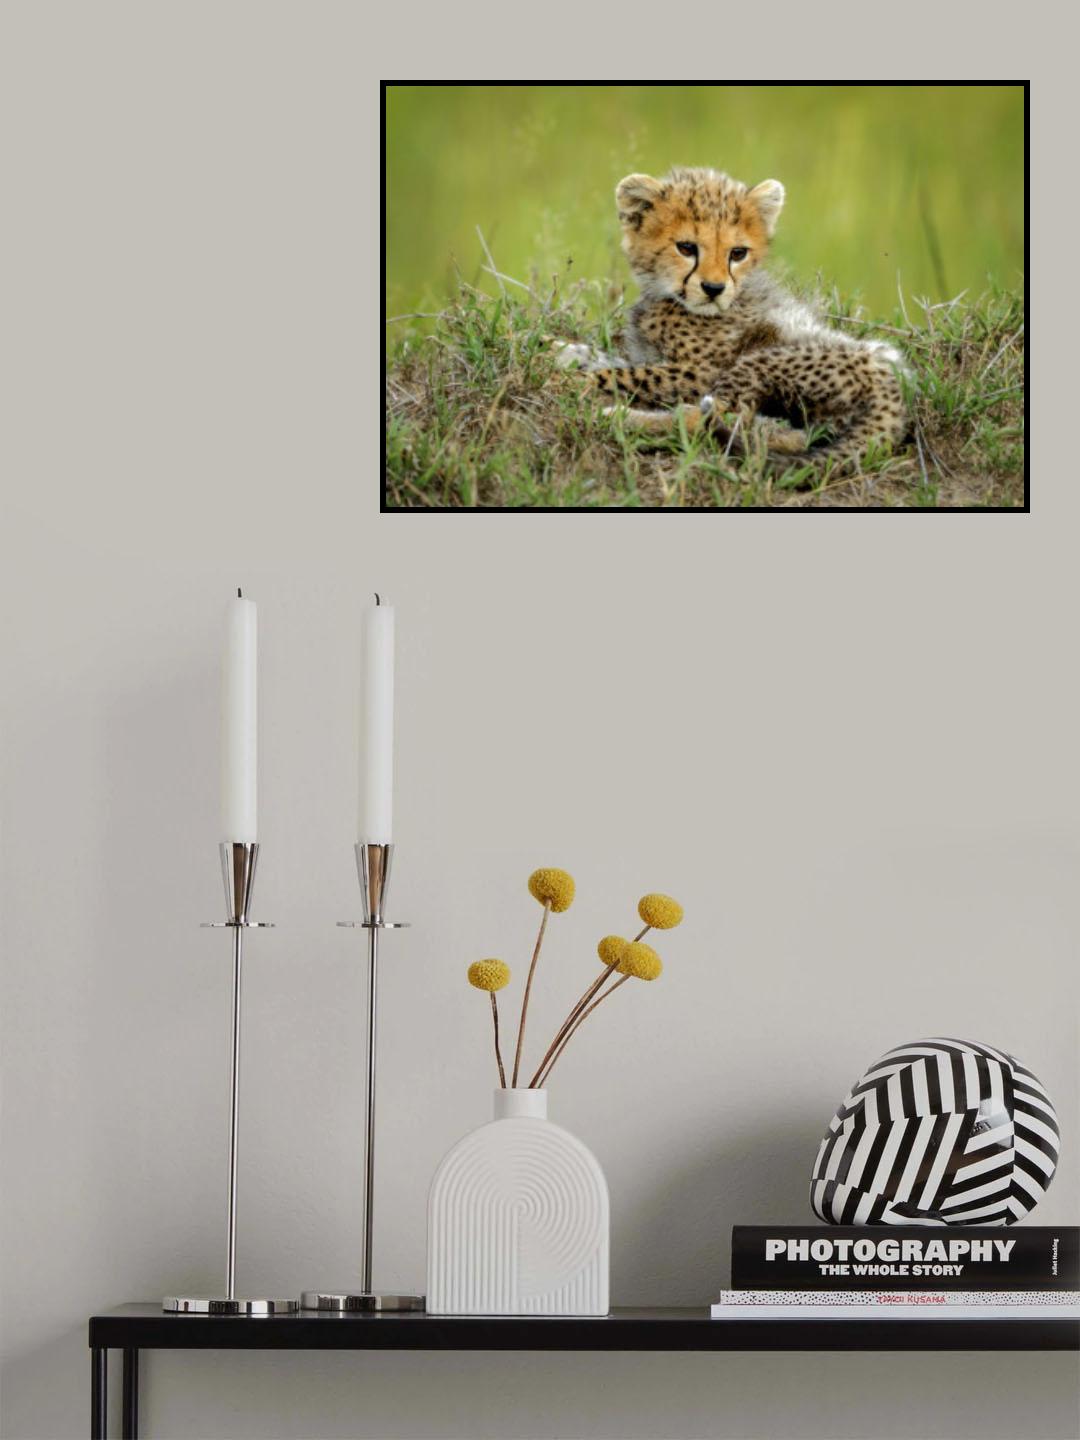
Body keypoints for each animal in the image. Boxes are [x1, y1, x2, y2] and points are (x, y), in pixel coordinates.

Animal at [555, 167, 908, 471]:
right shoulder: (649, 354)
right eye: (686, 247)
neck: (667, 297)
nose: (714, 289)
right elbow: (612, 360)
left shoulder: (701, 371)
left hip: (761, 361)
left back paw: (622, 417)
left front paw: (571, 379)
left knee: (728, 422)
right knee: (779, 431)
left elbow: (623, 375)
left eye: (737, 253)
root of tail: (897, 386)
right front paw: (564, 351)